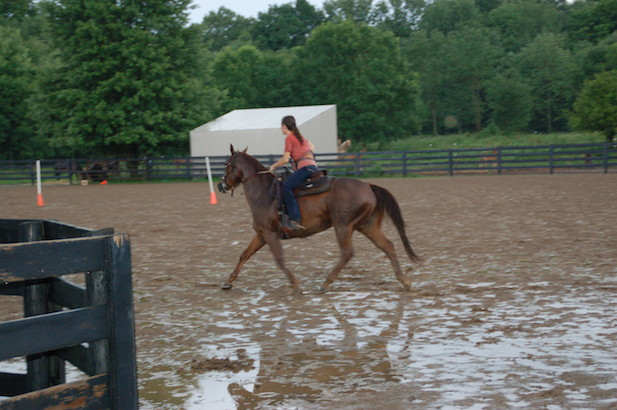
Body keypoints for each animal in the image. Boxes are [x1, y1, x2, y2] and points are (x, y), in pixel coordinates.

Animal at [217, 146, 418, 294]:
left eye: (226, 164)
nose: (220, 185)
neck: (264, 192)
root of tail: (369, 186)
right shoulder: (261, 234)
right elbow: (244, 254)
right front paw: (228, 282)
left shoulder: (270, 234)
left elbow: (280, 260)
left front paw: (296, 285)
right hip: (367, 226)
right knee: (388, 246)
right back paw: (405, 281)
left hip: (343, 226)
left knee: (347, 253)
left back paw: (325, 283)